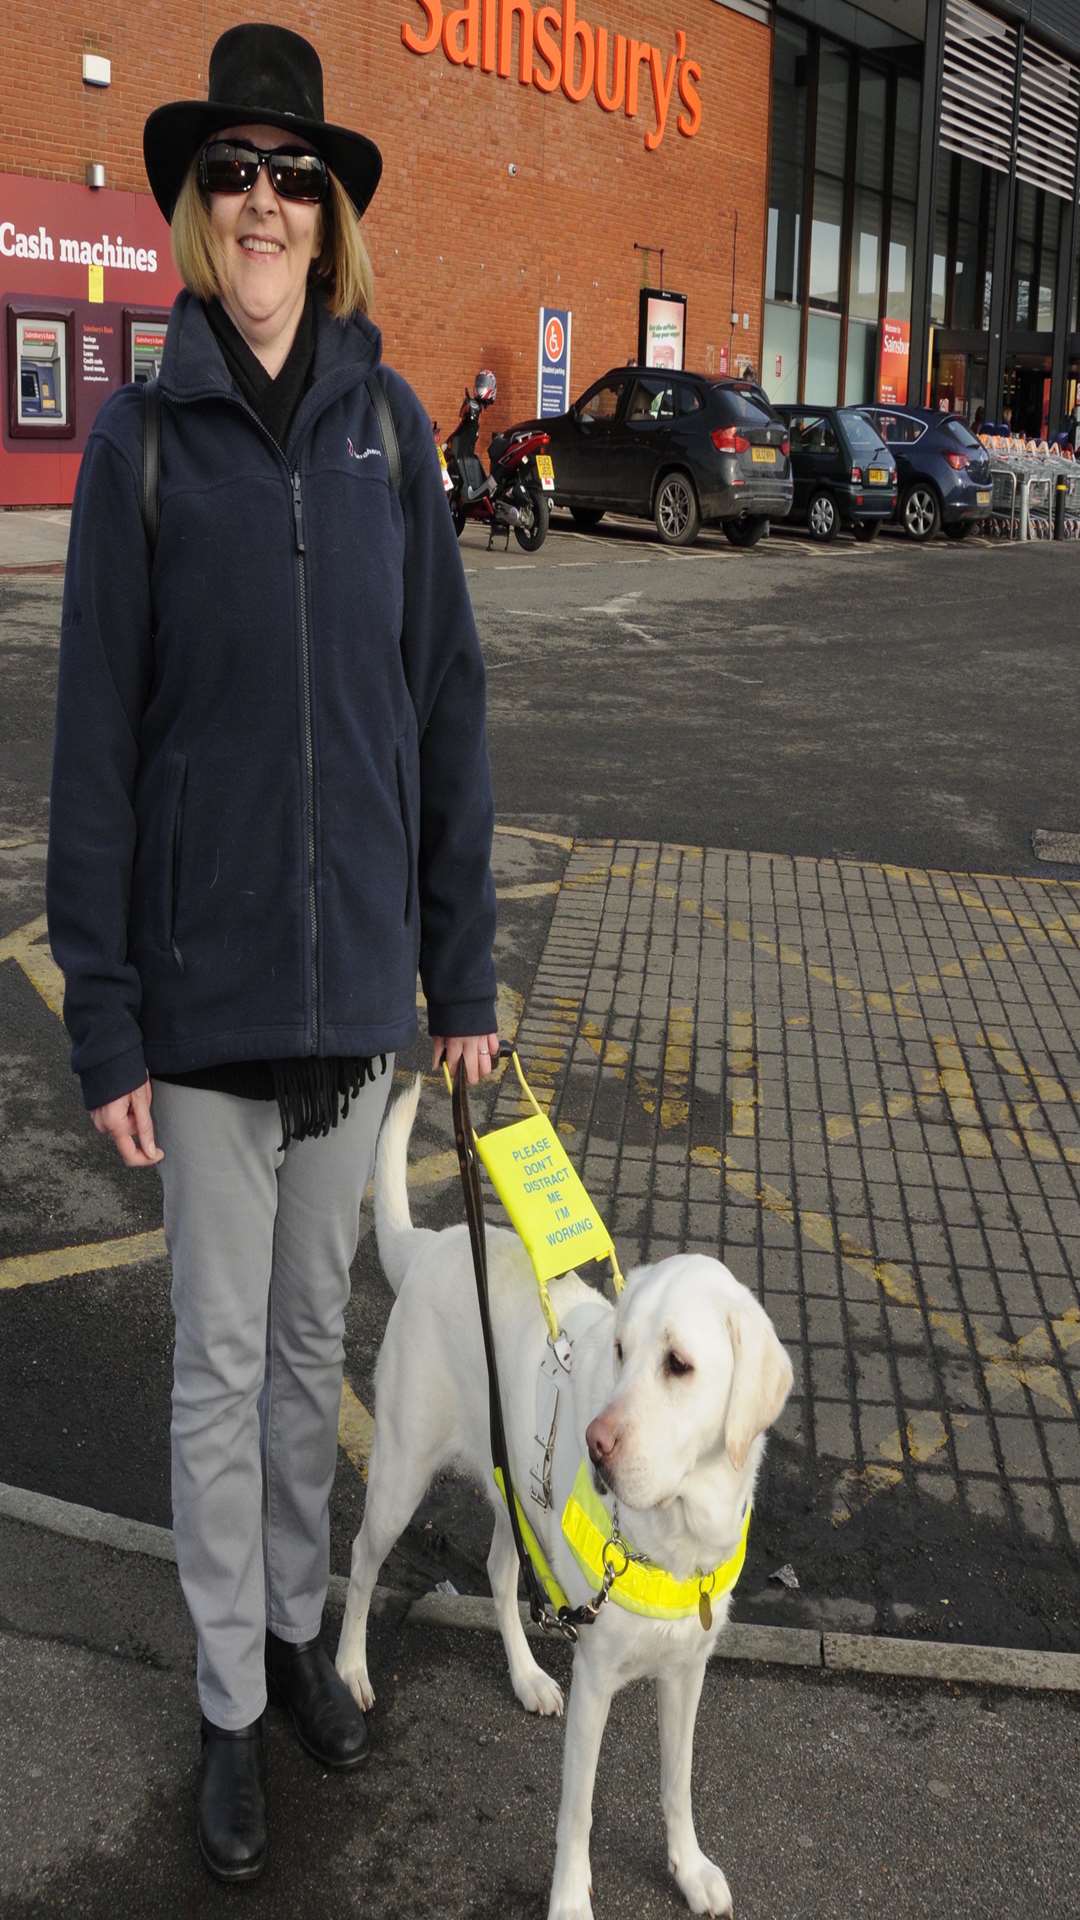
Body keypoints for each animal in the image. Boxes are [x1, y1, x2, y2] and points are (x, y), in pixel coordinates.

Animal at [336, 1082, 791, 1920]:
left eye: (679, 1364)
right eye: (619, 1350)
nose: (597, 1443)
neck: (676, 1531)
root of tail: (435, 1244)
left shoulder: (688, 1672)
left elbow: (677, 1783)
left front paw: (688, 1867)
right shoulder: (599, 1678)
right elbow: (576, 1810)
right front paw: (572, 1900)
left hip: (515, 1490)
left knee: (497, 1570)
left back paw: (524, 1676)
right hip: (400, 1474)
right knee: (360, 1560)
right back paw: (350, 1669)